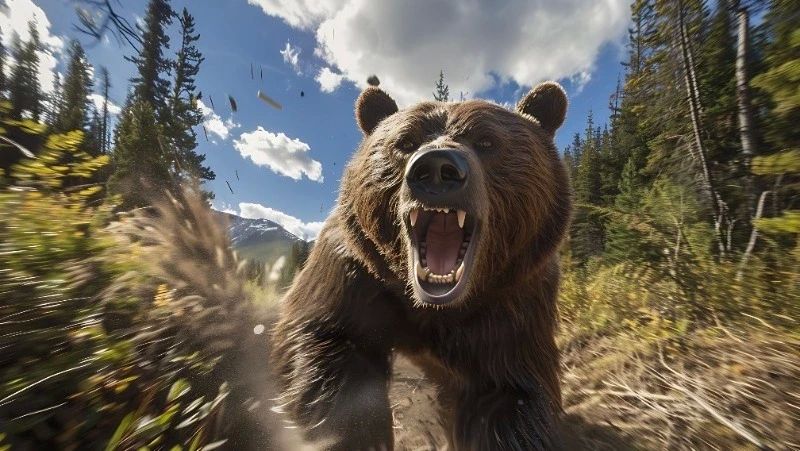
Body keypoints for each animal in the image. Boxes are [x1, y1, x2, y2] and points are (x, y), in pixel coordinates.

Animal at [271, 81, 571, 451]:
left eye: (487, 141)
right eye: (405, 142)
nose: (438, 168)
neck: (430, 308)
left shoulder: (514, 300)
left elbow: (511, 396)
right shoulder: (353, 274)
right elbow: (324, 344)